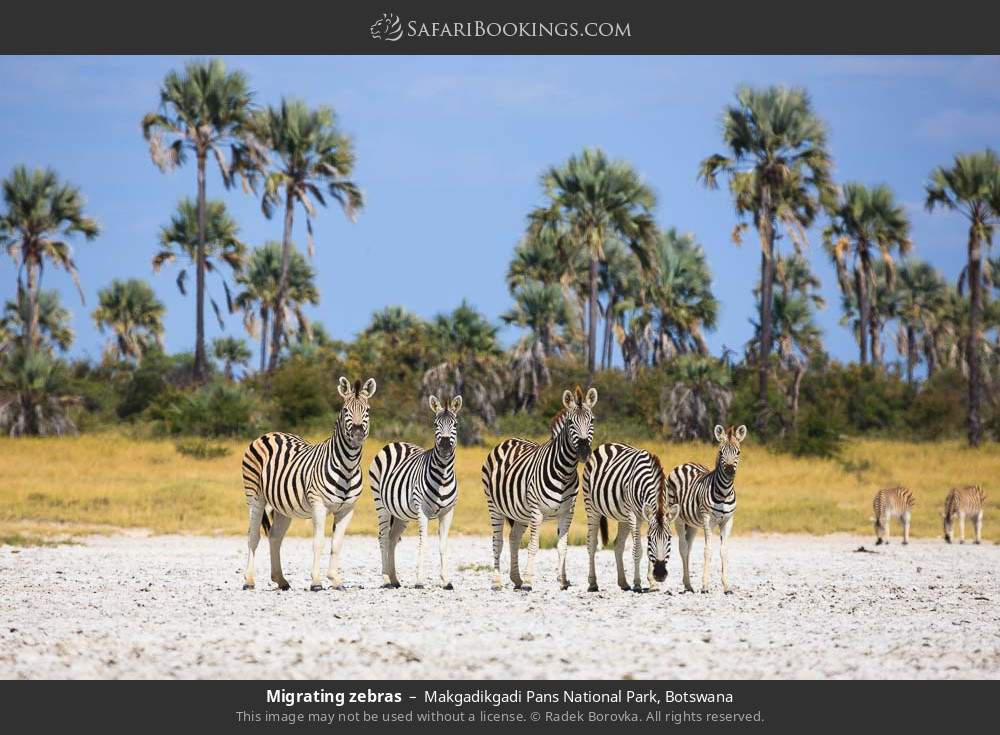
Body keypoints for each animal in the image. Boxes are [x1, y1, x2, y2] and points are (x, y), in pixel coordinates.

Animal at [240, 376, 376, 596]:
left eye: (368, 410)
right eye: (345, 410)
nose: (357, 434)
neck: (347, 466)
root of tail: (270, 433)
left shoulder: (347, 509)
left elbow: (337, 543)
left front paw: (336, 580)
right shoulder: (318, 505)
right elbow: (318, 542)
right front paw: (317, 582)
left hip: (282, 507)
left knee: (275, 536)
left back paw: (281, 580)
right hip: (255, 497)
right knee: (253, 536)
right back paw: (249, 580)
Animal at [368, 394, 460, 588]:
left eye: (455, 424)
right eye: (435, 424)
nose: (445, 446)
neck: (443, 475)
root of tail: (395, 442)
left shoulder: (448, 512)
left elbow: (443, 545)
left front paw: (446, 580)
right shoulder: (422, 511)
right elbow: (423, 543)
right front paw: (419, 580)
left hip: (401, 513)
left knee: (392, 539)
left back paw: (394, 579)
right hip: (381, 504)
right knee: (383, 538)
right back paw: (386, 579)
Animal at [482, 386, 596, 592]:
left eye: (592, 420)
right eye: (570, 422)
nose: (584, 452)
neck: (564, 471)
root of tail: (508, 439)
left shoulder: (567, 513)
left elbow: (563, 546)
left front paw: (562, 581)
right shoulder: (536, 512)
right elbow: (534, 546)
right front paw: (529, 581)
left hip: (520, 513)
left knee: (513, 538)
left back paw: (516, 579)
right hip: (494, 506)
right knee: (497, 542)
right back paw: (497, 582)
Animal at [584, 442, 684, 592]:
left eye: (669, 538)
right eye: (650, 538)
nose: (660, 574)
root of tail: (606, 444)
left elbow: (648, 552)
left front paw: (653, 583)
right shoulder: (633, 515)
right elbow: (638, 549)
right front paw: (637, 583)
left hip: (623, 517)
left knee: (618, 544)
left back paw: (623, 583)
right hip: (592, 507)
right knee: (591, 544)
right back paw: (593, 583)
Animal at [668, 426, 748, 600]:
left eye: (738, 452)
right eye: (720, 452)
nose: (730, 471)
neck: (724, 492)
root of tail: (686, 463)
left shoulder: (728, 521)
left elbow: (724, 551)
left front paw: (727, 586)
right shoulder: (707, 520)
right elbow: (708, 550)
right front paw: (705, 586)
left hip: (692, 524)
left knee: (688, 548)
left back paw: (688, 584)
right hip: (677, 517)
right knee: (682, 547)